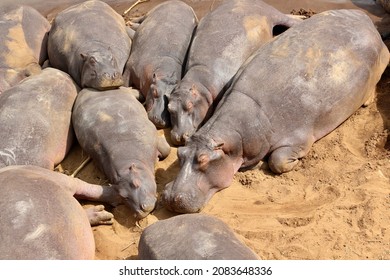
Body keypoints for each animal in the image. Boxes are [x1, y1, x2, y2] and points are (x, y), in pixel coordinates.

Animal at [71, 86, 171, 220]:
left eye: (136, 183)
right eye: (124, 197)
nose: (141, 212)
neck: (132, 162)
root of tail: (86, 89)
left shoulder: (151, 137)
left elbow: (166, 150)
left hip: (124, 91)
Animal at [124, 0, 198, 128]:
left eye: (170, 98)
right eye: (155, 91)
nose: (161, 121)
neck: (163, 75)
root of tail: (181, 3)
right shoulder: (130, 67)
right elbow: (124, 82)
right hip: (152, 11)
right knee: (141, 19)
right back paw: (129, 21)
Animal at [168, 0, 302, 144]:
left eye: (189, 105)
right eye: (169, 108)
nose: (178, 137)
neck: (200, 83)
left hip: (272, 13)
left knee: (287, 19)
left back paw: (302, 18)